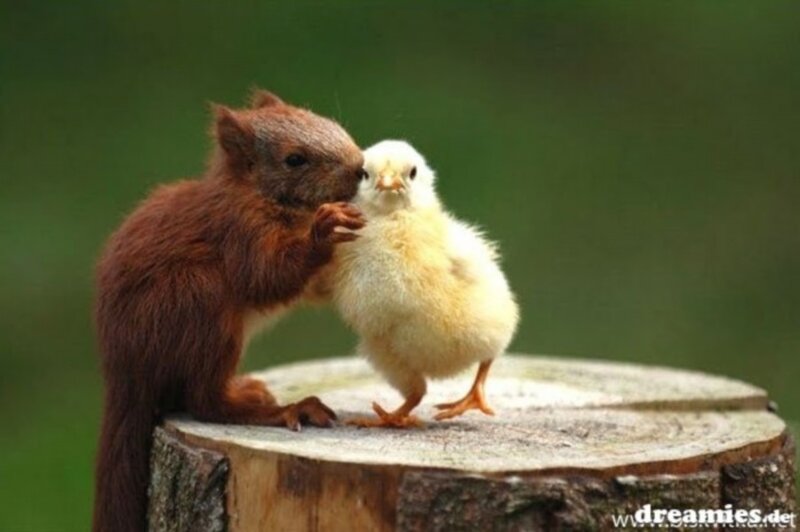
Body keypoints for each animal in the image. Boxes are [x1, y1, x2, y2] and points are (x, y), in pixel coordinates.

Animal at [92, 89, 365, 532]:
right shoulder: (239, 231)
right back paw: (282, 410)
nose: (361, 168)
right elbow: (267, 276)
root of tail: (125, 372)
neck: (258, 195)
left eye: (328, 122)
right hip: (199, 305)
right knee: (204, 401)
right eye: (294, 159)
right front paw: (324, 232)